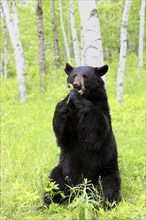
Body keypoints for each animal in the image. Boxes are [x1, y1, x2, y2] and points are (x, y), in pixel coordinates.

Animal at [44, 63, 121, 206]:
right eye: (74, 75)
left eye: (85, 76)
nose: (75, 85)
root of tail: (78, 189)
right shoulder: (70, 122)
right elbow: (63, 136)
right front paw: (65, 100)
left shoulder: (101, 110)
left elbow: (96, 132)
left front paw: (74, 95)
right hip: (62, 171)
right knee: (53, 185)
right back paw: (49, 203)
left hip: (106, 172)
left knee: (106, 190)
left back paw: (100, 204)